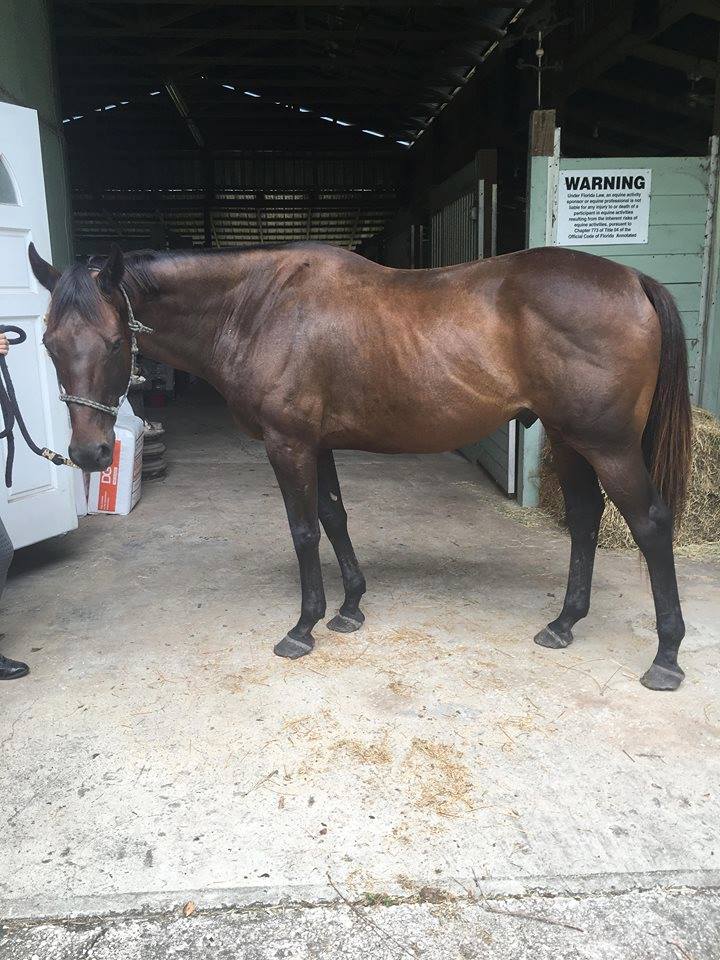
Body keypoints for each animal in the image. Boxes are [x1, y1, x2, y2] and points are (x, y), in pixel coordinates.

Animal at [28, 241, 692, 691]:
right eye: (49, 343)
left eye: (115, 342)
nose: (88, 454)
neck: (260, 307)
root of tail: (632, 278)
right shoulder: (316, 445)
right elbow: (334, 517)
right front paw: (350, 607)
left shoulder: (288, 444)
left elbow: (303, 529)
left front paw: (304, 626)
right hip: (569, 439)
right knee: (584, 518)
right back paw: (564, 622)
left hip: (605, 444)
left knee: (650, 525)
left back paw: (666, 656)